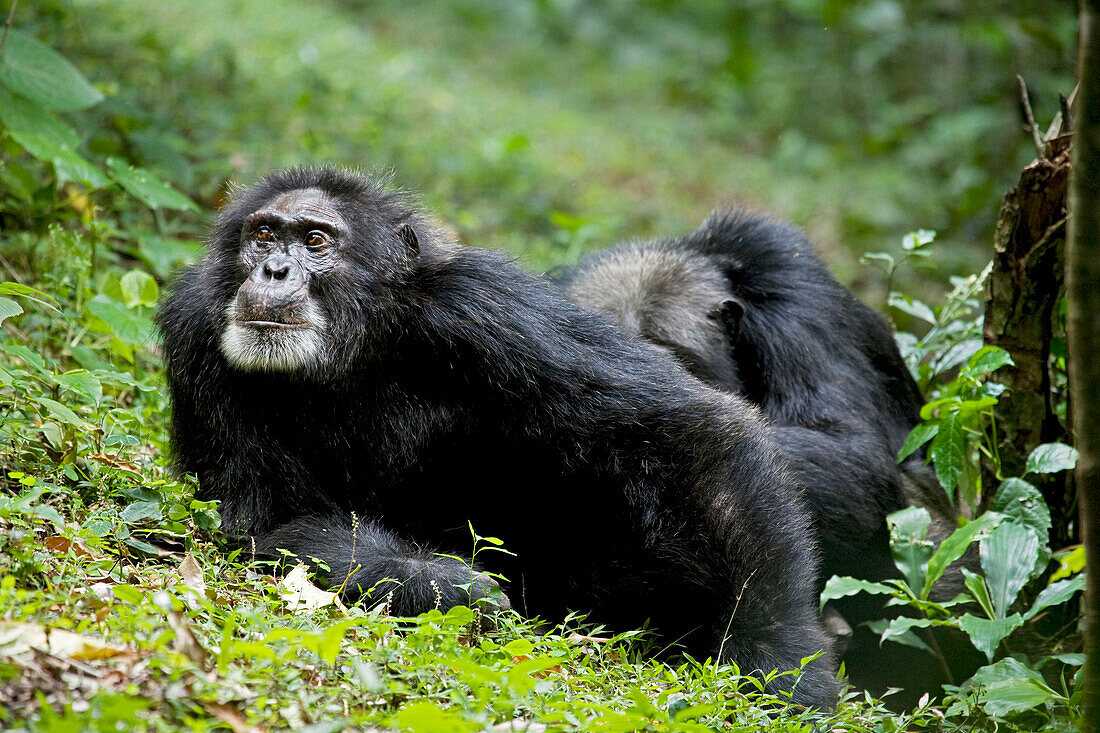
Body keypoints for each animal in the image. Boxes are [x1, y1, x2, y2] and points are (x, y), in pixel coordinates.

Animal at [159, 167, 836, 708]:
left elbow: (679, 429)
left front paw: (779, 655)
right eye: (264, 235)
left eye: (315, 240)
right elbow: (272, 517)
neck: (357, 344)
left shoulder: (489, 305)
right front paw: (451, 587)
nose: (273, 268)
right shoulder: (195, 328)